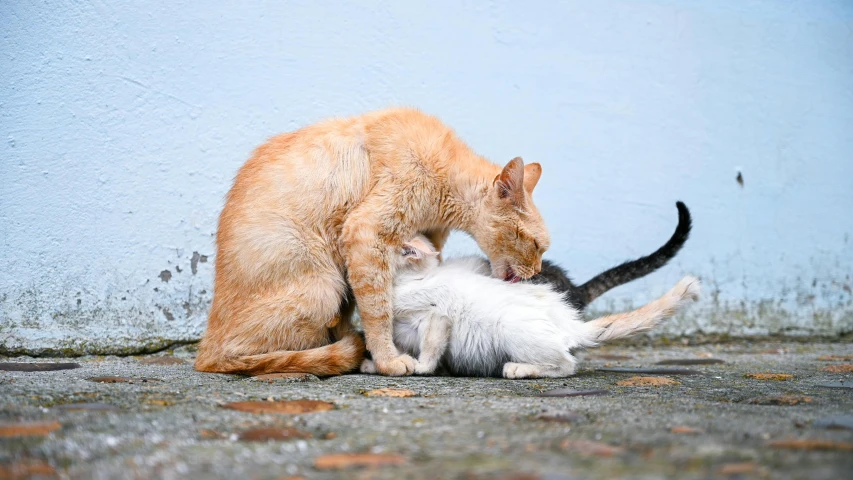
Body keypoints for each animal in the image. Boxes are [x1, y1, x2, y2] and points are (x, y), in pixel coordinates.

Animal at [193, 107, 548, 376]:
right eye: (535, 245)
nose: (537, 270)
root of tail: (207, 341)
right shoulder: (365, 232)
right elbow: (379, 310)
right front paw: (388, 360)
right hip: (324, 287)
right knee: (230, 357)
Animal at [360, 235, 700, 378]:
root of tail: (570, 322)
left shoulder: (437, 313)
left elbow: (430, 349)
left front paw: (420, 367)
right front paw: (376, 364)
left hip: (510, 327)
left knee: (566, 366)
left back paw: (519, 369)